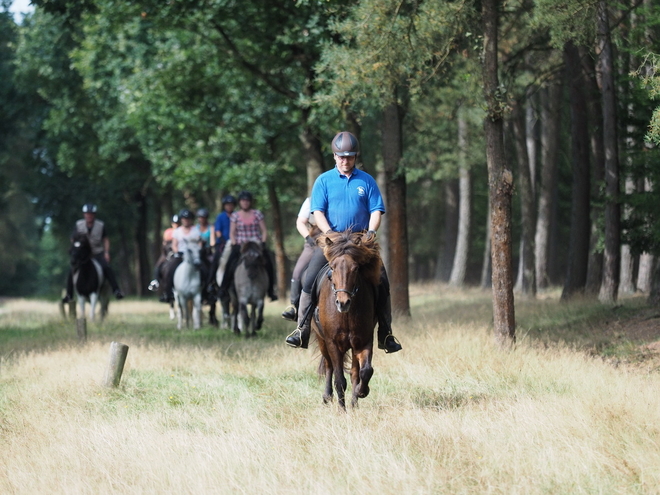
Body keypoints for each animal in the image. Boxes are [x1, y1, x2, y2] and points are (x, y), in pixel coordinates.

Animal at [314, 232, 382, 410]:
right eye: (332, 268)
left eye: (356, 268)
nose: (343, 303)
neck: (346, 315)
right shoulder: (333, 343)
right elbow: (339, 380)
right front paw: (342, 411)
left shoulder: (363, 341)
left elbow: (365, 371)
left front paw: (361, 392)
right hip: (322, 340)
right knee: (329, 366)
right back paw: (327, 396)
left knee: (354, 373)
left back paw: (354, 403)